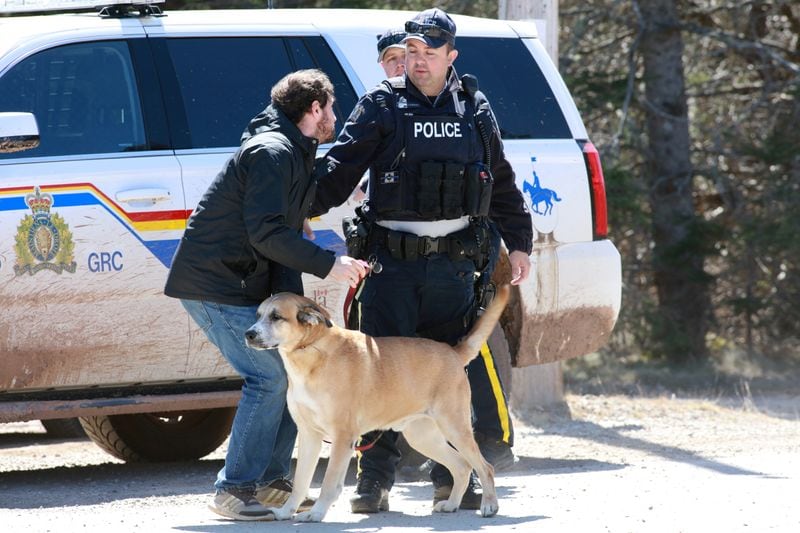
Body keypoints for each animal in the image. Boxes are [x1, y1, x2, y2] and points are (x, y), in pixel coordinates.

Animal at [242, 282, 512, 520]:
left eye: (276, 317)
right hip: (423, 436)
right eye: (258, 315)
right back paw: (452, 504)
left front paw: (316, 513)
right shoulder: (310, 435)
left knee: (485, 467)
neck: (311, 351)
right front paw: (287, 512)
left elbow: (329, 483)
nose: (248, 334)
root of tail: (453, 352)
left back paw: (489, 505)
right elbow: (299, 483)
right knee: (462, 467)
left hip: (455, 427)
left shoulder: (342, 437)